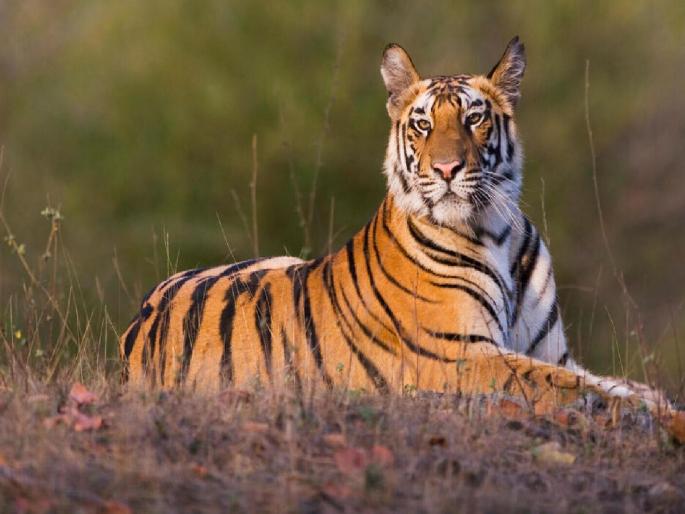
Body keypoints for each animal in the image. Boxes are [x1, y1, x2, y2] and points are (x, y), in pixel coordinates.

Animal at [120, 37, 675, 421]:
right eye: (423, 125)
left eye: (474, 119)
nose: (447, 169)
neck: (497, 230)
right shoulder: (462, 355)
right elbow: (580, 389)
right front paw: (666, 423)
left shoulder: (552, 352)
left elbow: (617, 383)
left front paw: (659, 402)